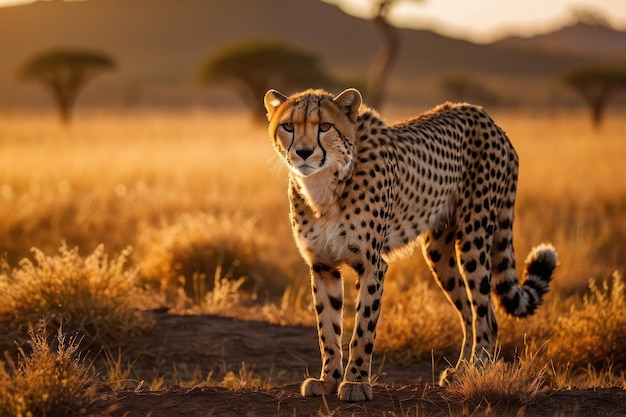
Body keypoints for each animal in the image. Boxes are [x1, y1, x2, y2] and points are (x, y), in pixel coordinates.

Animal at [262, 87, 556, 400]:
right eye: (288, 126)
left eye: (325, 126)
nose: (304, 153)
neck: (325, 184)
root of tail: (484, 116)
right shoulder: (323, 266)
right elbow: (327, 329)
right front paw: (328, 380)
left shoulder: (373, 265)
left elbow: (363, 328)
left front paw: (355, 383)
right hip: (438, 252)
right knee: (468, 311)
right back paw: (462, 370)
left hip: (474, 238)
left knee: (486, 314)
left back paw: (479, 368)